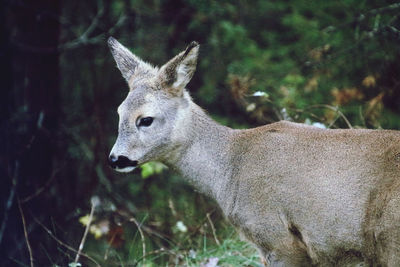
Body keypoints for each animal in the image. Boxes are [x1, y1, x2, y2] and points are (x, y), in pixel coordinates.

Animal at [106, 36, 400, 266]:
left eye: (145, 119)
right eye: (119, 113)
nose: (115, 159)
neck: (230, 169)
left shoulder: (277, 236)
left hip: (389, 236)